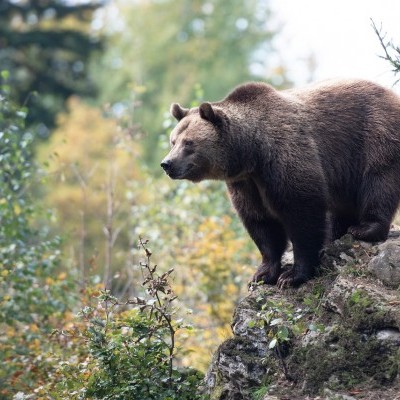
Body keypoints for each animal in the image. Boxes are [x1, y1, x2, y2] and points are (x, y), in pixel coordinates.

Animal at [161, 79, 400, 288]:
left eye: (189, 143)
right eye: (173, 141)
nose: (167, 163)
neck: (251, 153)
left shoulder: (284, 156)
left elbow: (302, 212)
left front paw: (292, 275)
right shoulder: (246, 183)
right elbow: (261, 223)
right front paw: (262, 274)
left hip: (375, 135)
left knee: (379, 182)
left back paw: (365, 228)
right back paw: (336, 232)